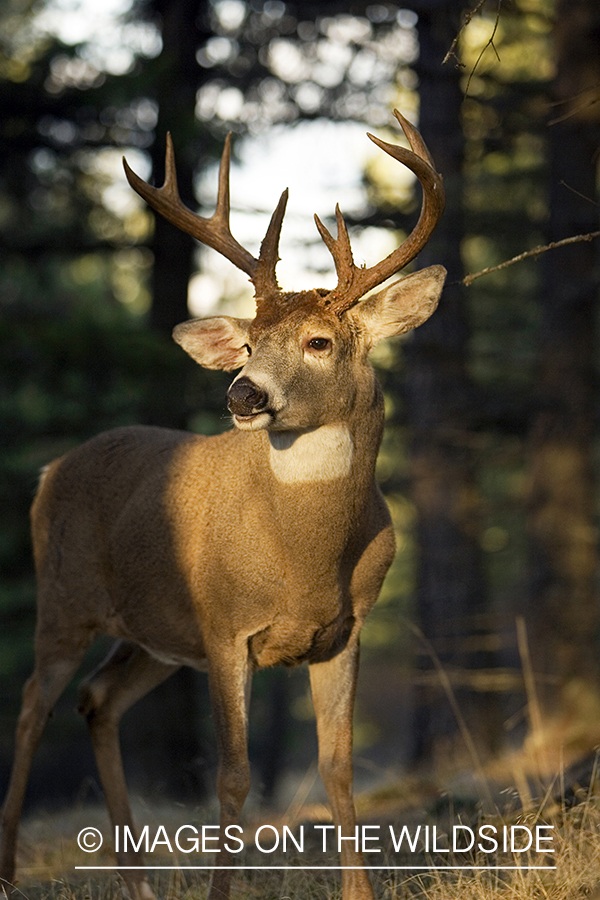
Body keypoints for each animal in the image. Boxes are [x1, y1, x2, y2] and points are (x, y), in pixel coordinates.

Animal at [0, 110, 440, 900]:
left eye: (319, 340)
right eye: (248, 344)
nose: (242, 393)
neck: (304, 560)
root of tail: (51, 469)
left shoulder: (346, 629)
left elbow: (338, 767)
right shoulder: (225, 625)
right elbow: (233, 777)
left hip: (152, 633)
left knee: (97, 698)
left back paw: (138, 880)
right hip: (65, 599)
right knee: (30, 708)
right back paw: (11, 870)